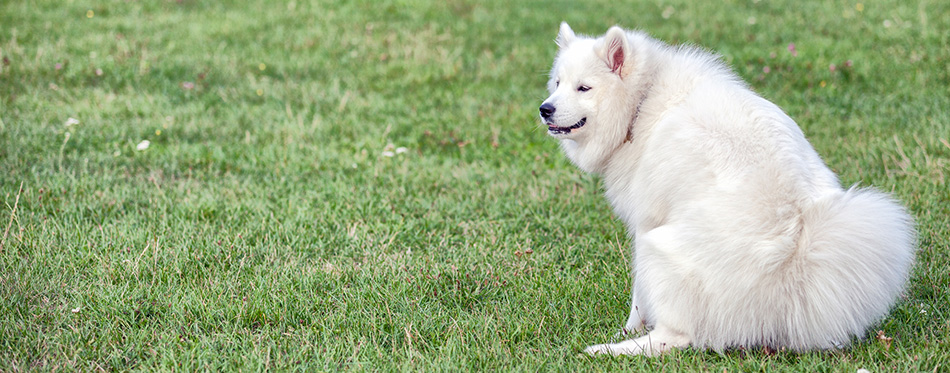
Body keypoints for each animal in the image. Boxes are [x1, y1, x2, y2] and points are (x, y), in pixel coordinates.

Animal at [544, 22, 924, 354]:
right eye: (558, 83)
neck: (643, 102)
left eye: (584, 88)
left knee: (675, 339)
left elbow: (638, 299)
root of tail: (792, 267)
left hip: (658, 250)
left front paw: (626, 329)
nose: (544, 109)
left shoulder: (644, 223)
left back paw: (608, 350)